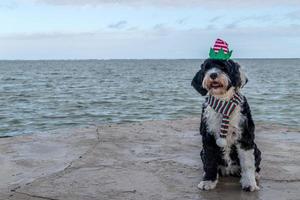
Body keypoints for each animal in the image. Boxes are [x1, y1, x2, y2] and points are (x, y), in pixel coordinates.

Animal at [192, 57, 260, 191]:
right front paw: (208, 181)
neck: (223, 102)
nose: (213, 74)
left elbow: (248, 163)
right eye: (207, 68)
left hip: (257, 149)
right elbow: (209, 161)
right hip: (202, 151)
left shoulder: (245, 137)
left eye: (224, 67)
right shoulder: (208, 137)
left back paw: (255, 175)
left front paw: (249, 183)